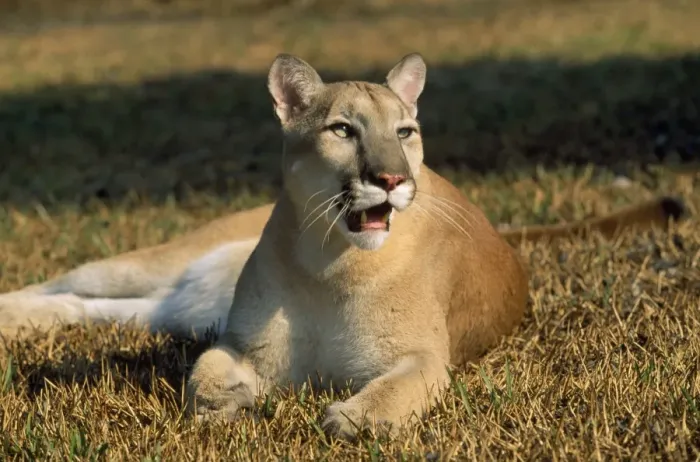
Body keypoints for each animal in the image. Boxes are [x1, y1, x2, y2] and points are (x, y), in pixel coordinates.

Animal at [0, 53, 685, 440]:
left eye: (404, 132)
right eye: (342, 129)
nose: (392, 178)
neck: (330, 263)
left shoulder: (423, 359)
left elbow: (394, 389)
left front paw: (352, 419)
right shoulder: (237, 343)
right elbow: (202, 377)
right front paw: (228, 405)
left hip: (171, 308)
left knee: (94, 309)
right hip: (152, 266)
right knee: (73, 281)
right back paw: (13, 312)